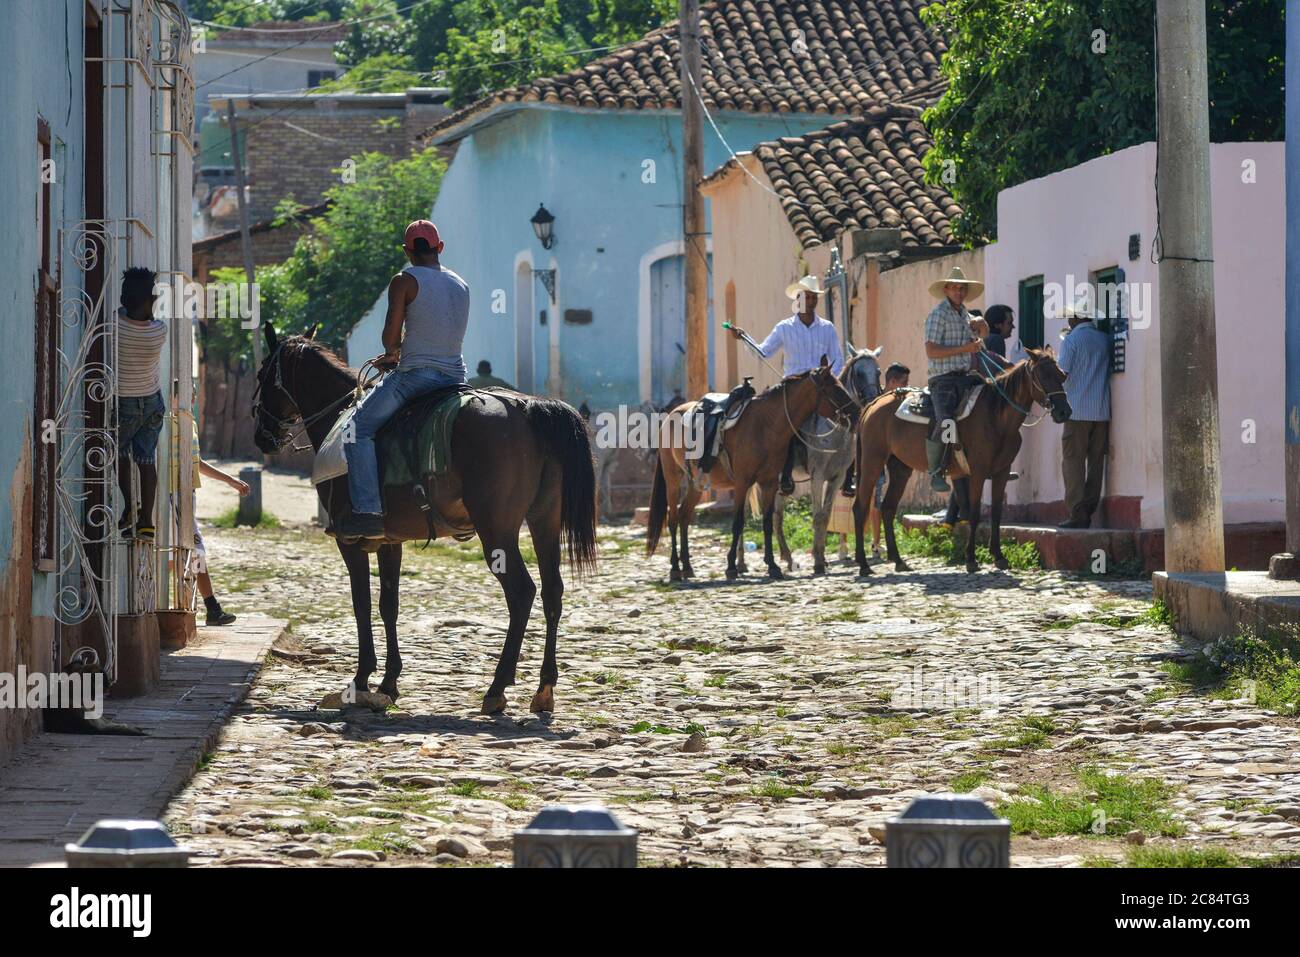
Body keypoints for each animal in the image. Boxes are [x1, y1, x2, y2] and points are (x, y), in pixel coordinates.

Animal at [249, 325, 598, 712]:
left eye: (262, 374)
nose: (262, 436)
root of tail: (527, 407)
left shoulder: (349, 541)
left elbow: (361, 605)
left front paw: (361, 679)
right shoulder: (389, 541)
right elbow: (389, 605)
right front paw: (388, 681)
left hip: (498, 531)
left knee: (522, 593)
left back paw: (497, 688)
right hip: (544, 522)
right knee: (553, 591)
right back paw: (544, 688)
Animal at [644, 361, 857, 579]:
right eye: (835, 388)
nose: (857, 412)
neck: (765, 424)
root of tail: (671, 414)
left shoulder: (770, 482)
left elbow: (767, 522)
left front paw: (772, 565)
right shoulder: (743, 482)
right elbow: (738, 522)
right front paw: (731, 566)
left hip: (697, 483)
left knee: (685, 517)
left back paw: (687, 566)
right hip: (673, 479)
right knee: (673, 519)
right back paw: (675, 568)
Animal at [847, 351, 1071, 574]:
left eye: (1062, 375)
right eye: (1042, 376)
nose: (1064, 412)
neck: (996, 416)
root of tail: (873, 404)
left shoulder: (1001, 472)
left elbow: (996, 514)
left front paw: (999, 556)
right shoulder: (977, 473)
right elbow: (974, 514)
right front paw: (971, 559)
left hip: (900, 468)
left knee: (888, 508)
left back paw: (898, 560)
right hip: (872, 462)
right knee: (860, 507)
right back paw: (864, 564)